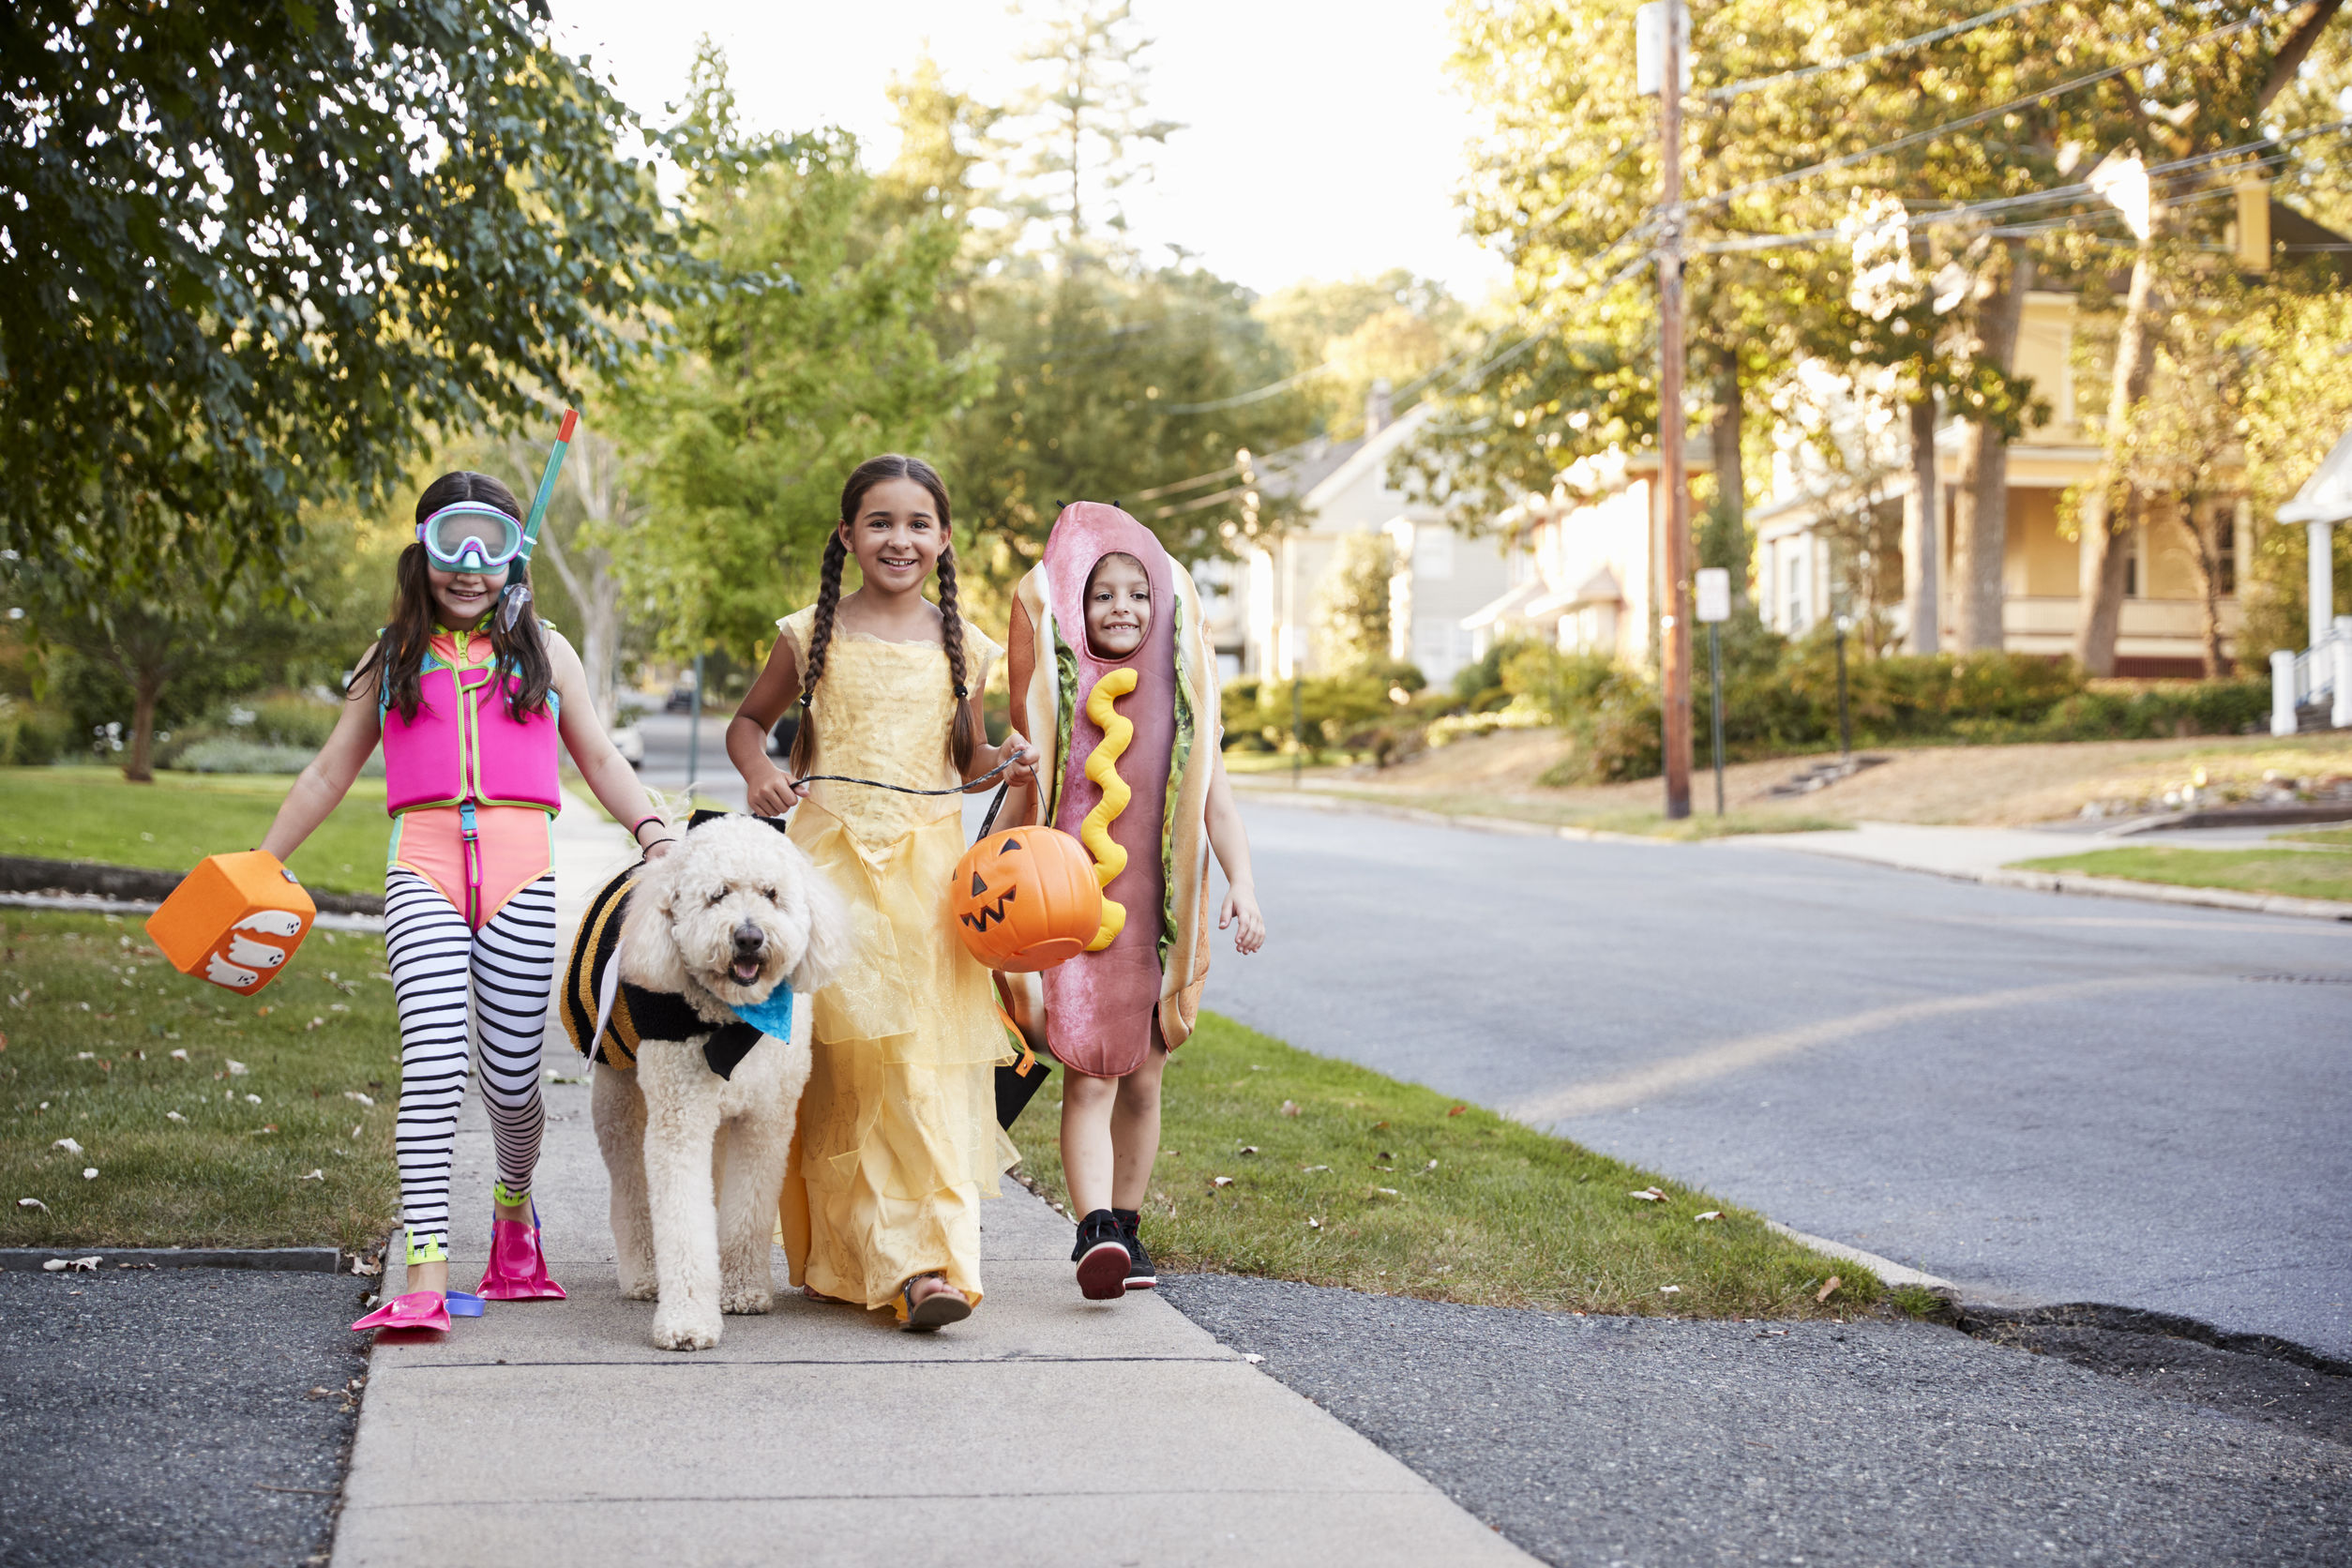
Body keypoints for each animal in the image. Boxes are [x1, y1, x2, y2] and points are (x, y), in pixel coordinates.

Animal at [588, 818, 855, 1353]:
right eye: (718, 895)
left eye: (772, 894)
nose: (749, 937)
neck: (736, 1018)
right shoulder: (680, 1120)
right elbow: (682, 1221)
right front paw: (688, 1321)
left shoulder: (766, 1121)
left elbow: (747, 1210)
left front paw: (741, 1289)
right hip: (619, 1099)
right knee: (631, 1188)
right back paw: (645, 1274)